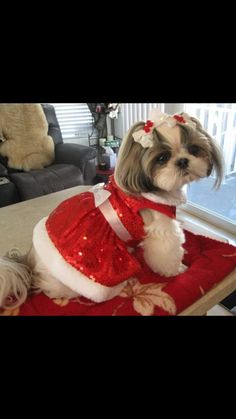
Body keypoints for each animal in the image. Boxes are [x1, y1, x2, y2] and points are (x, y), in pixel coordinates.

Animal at [0, 110, 223, 310]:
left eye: (194, 149)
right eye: (162, 158)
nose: (183, 160)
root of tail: (29, 259)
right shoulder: (162, 229)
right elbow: (168, 253)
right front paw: (177, 270)